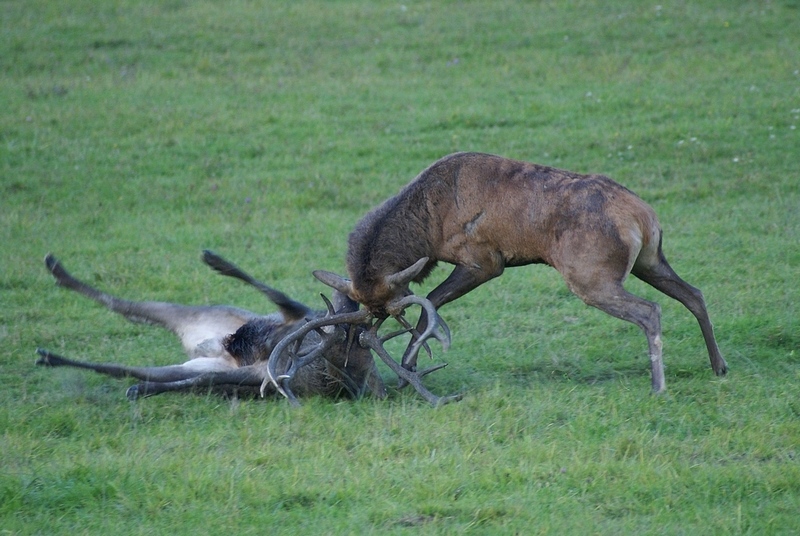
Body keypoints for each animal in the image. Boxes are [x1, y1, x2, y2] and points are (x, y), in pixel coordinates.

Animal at [35, 251, 388, 404]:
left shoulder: (263, 374)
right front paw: (218, 261)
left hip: (199, 342)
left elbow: (201, 381)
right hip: (213, 313)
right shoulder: (299, 316)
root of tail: (217, 344)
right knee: (123, 305)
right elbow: (274, 291)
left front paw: (142, 390)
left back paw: (52, 356)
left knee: (127, 361)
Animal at [312, 151, 728, 397]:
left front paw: (408, 368)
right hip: (650, 260)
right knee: (694, 293)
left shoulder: (484, 261)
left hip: (591, 276)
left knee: (650, 311)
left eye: (392, 310)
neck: (428, 227)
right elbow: (431, 305)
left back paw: (658, 385)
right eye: (372, 313)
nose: (366, 335)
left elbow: (430, 302)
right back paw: (718, 366)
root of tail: (644, 216)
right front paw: (406, 369)